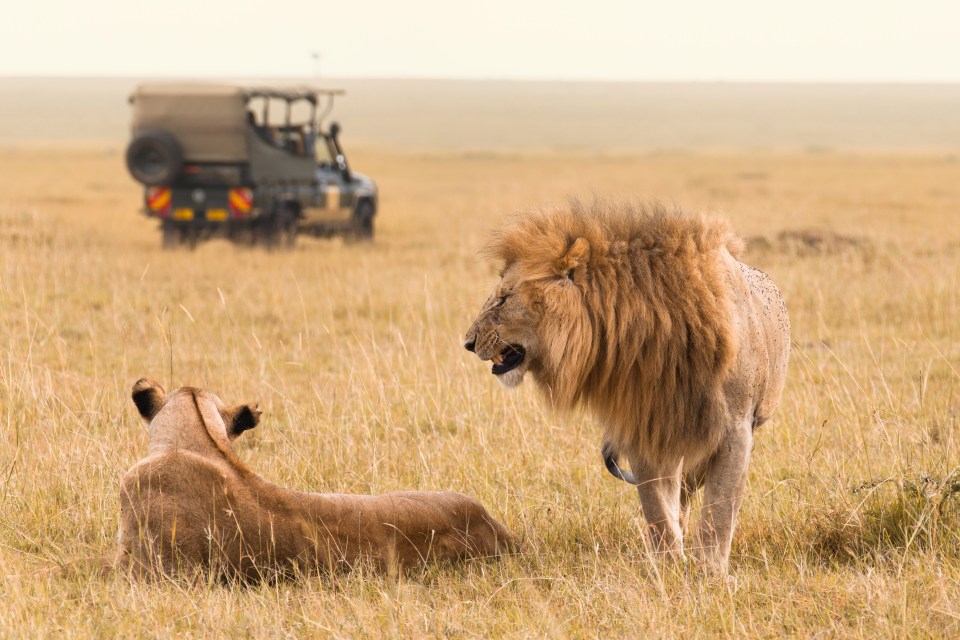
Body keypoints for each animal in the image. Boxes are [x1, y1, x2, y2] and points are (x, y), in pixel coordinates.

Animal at [464, 202, 788, 572]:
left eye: (504, 299)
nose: (468, 343)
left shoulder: (735, 429)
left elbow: (719, 509)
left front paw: (710, 571)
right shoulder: (644, 427)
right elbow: (656, 507)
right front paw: (669, 565)